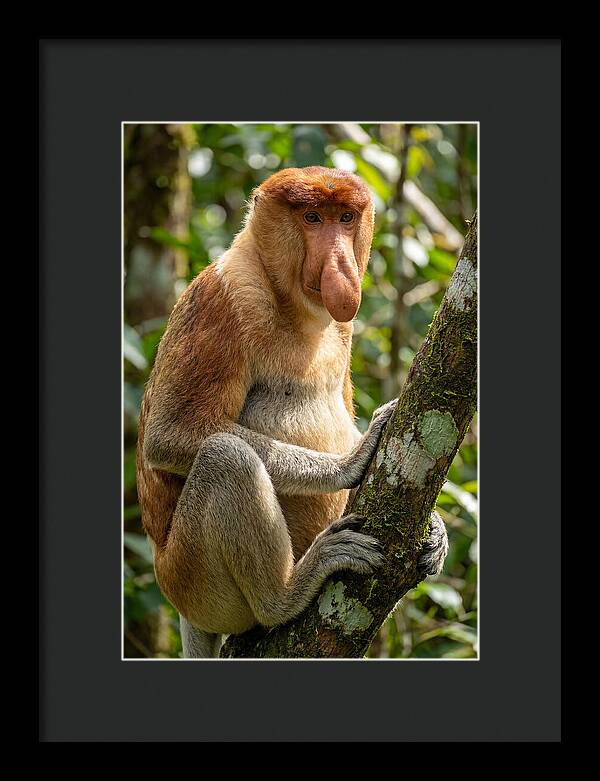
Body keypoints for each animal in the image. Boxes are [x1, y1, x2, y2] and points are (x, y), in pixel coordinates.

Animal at [135, 166, 448, 658]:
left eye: (345, 217)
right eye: (312, 218)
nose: (340, 265)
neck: (295, 307)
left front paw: (436, 529)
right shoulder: (224, 299)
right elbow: (170, 434)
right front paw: (351, 460)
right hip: (191, 580)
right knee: (226, 457)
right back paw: (286, 593)